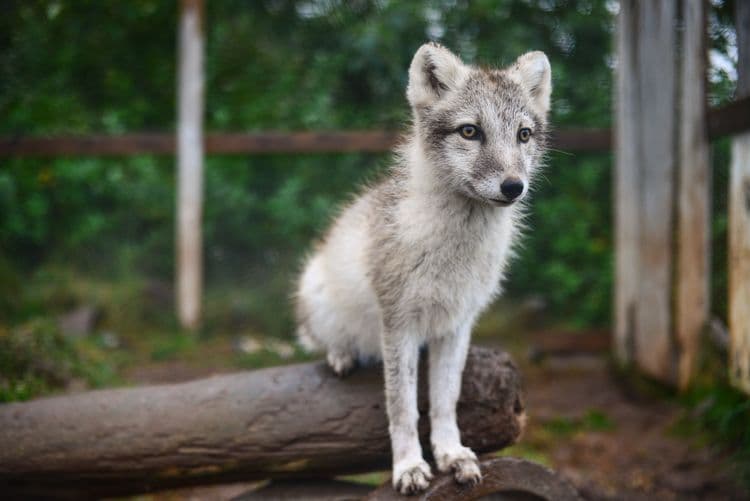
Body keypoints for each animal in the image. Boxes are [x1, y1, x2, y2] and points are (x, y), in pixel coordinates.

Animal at [295, 42, 551, 495]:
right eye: (470, 131)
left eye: (523, 134)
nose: (513, 187)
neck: (454, 251)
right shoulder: (399, 325)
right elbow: (403, 407)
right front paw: (409, 465)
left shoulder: (457, 325)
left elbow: (445, 401)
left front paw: (451, 454)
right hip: (318, 295)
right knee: (322, 339)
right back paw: (341, 354)